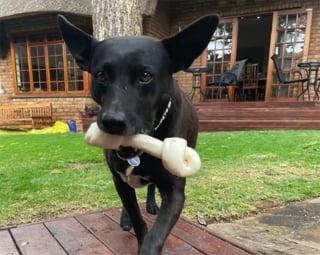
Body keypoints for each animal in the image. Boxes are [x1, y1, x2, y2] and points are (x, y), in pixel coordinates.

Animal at [57, 14, 219, 255]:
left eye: (145, 76)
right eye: (101, 75)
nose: (112, 122)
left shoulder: (175, 191)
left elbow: (156, 234)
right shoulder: (120, 180)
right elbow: (137, 217)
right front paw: (133, 225)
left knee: (150, 188)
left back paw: (151, 203)